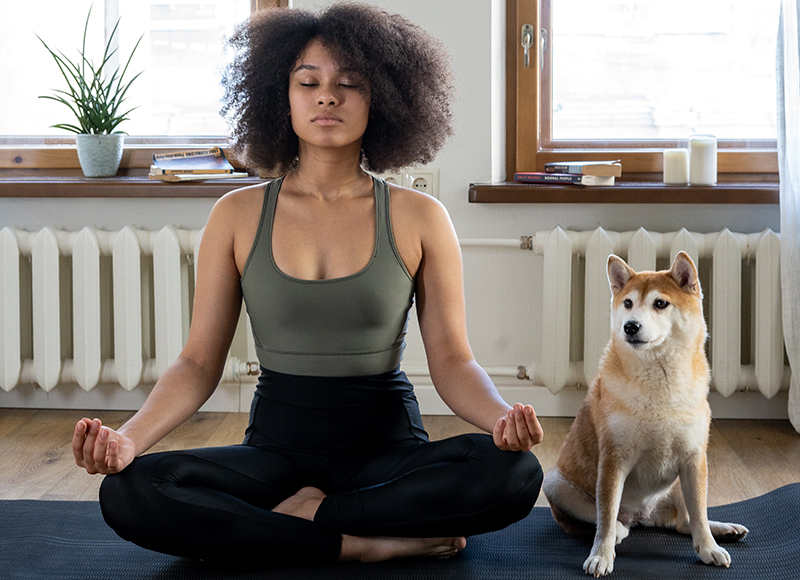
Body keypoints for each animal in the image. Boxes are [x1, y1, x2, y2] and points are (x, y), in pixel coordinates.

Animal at [544, 253, 752, 576]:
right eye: (628, 303)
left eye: (660, 303)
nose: (630, 326)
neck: (659, 384)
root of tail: (644, 516)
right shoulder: (613, 459)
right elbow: (605, 517)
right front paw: (601, 555)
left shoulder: (694, 458)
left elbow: (699, 514)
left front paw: (709, 548)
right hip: (554, 481)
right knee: (610, 521)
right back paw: (620, 530)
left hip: (680, 483)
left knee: (685, 522)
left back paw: (724, 530)